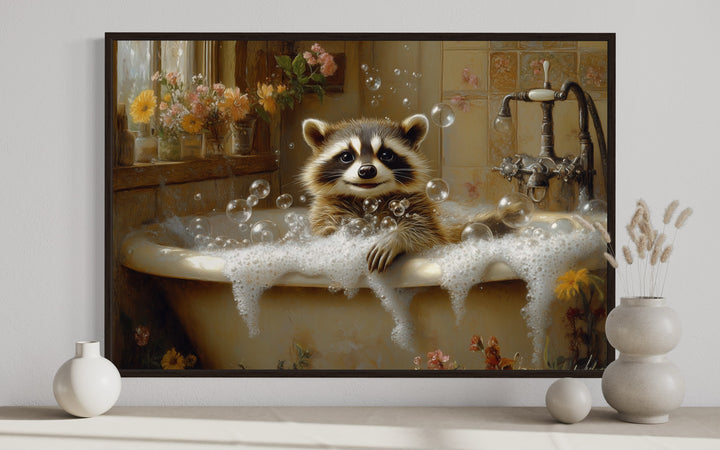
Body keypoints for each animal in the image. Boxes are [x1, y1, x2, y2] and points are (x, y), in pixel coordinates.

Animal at [301, 114, 504, 273]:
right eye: (346, 156)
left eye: (385, 155)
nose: (367, 170)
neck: (370, 198)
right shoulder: (326, 210)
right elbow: (328, 232)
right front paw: (355, 229)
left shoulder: (417, 204)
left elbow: (428, 233)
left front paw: (397, 238)